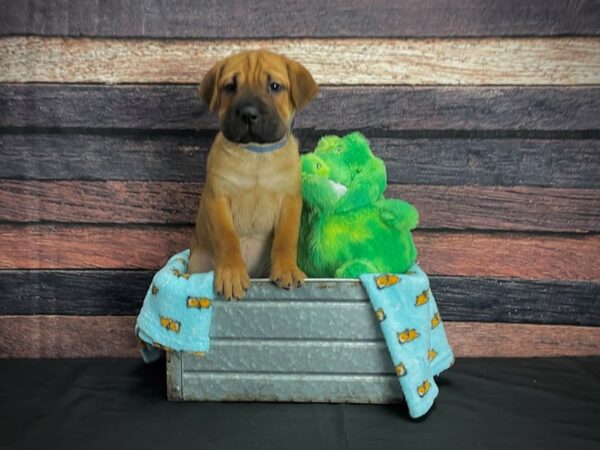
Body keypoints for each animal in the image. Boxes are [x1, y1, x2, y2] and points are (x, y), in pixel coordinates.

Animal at [189, 51, 318, 298]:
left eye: (275, 86)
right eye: (229, 87)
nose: (249, 113)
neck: (256, 154)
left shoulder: (290, 201)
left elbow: (286, 239)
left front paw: (287, 269)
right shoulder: (216, 199)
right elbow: (227, 238)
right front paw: (231, 273)